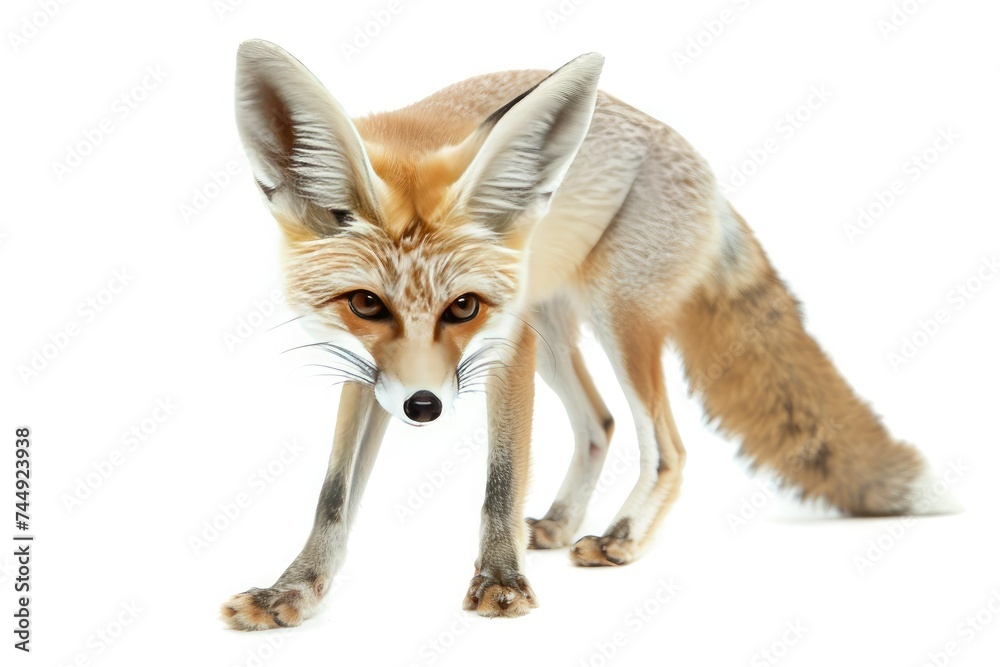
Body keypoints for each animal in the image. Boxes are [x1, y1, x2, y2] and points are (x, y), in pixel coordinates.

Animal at [221, 39, 959, 630]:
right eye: (366, 304)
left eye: (464, 307)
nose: (423, 408)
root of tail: (703, 168)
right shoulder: (366, 372)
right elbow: (334, 496)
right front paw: (295, 590)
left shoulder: (505, 341)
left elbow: (500, 480)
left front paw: (501, 581)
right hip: (554, 331)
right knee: (600, 420)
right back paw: (557, 522)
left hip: (618, 320)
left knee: (668, 446)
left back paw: (620, 536)